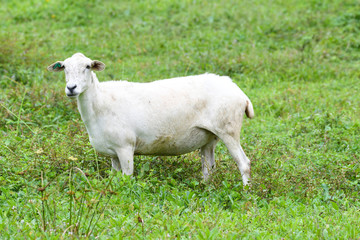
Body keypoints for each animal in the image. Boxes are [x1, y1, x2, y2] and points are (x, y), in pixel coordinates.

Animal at [47, 53, 255, 186]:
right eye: (64, 67)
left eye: (88, 67)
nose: (71, 88)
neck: (100, 101)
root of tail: (239, 92)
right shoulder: (113, 152)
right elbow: (114, 178)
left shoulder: (125, 147)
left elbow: (127, 178)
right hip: (208, 137)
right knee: (208, 168)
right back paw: (206, 188)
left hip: (228, 130)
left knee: (244, 164)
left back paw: (246, 192)